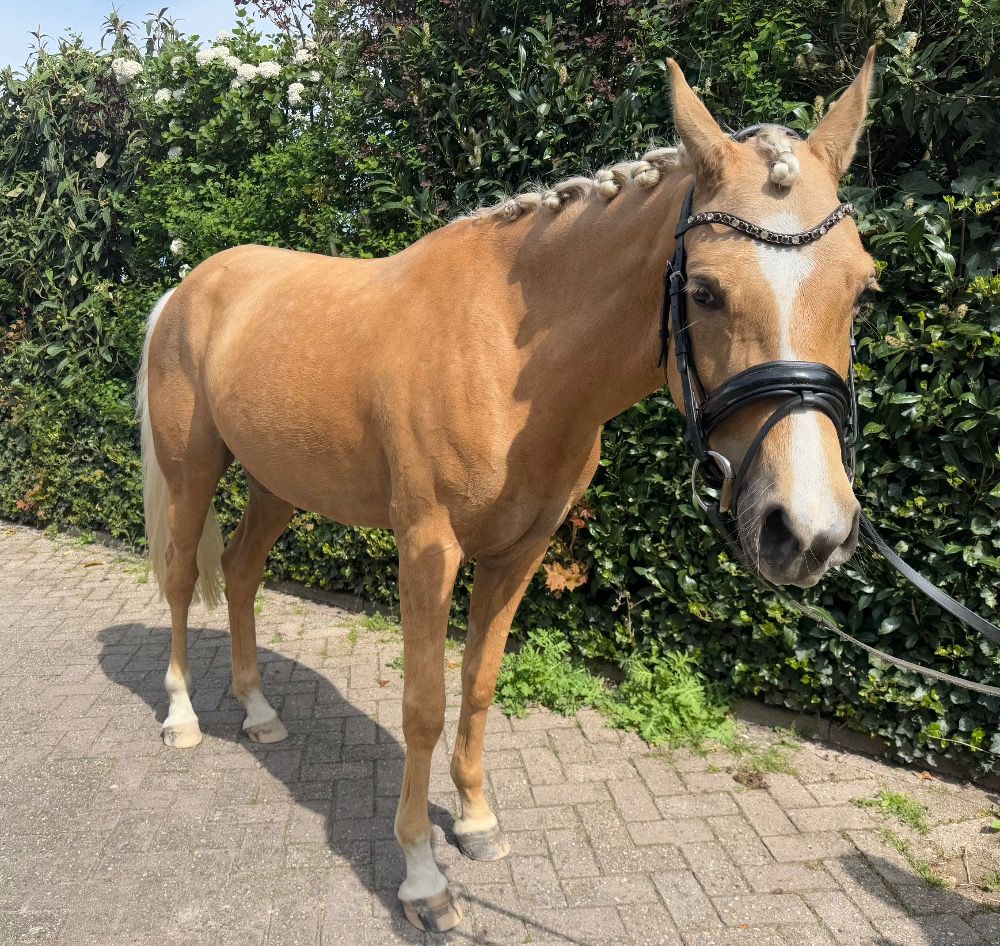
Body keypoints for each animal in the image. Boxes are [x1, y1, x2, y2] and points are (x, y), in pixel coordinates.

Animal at [137, 50, 877, 931]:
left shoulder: (518, 551)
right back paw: (183, 719)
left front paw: (478, 824)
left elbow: (480, 681)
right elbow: (423, 702)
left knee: (242, 573)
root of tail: (188, 288)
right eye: (704, 290)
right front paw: (424, 876)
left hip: (276, 483)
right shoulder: (428, 546)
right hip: (193, 474)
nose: (808, 530)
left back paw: (258, 714)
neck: (506, 356)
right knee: (184, 578)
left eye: (862, 288)